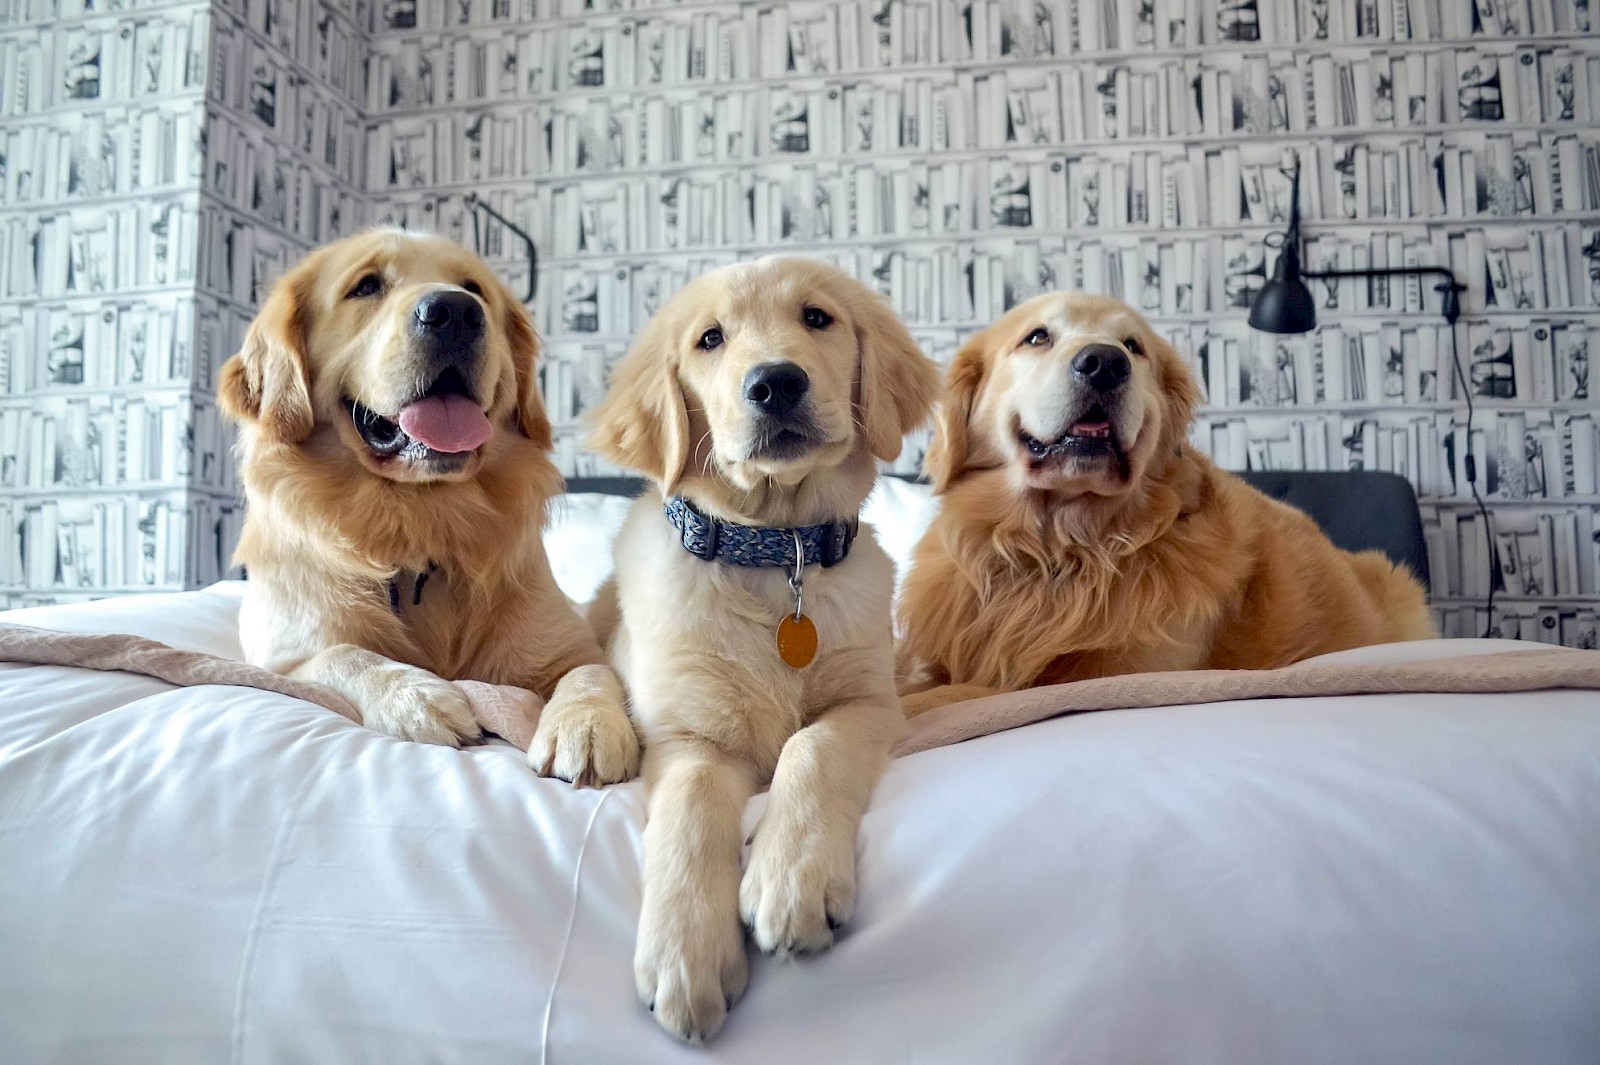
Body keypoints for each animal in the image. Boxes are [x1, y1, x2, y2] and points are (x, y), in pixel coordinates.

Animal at [217, 228, 636, 783]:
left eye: (475, 289)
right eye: (366, 286)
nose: (455, 312)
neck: (422, 520)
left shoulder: (570, 645)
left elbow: (590, 672)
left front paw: (587, 725)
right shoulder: (281, 657)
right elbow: (342, 655)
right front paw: (414, 697)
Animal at [585, 257, 934, 1036]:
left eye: (817, 318)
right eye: (710, 338)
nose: (775, 382)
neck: (778, 553)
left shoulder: (871, 701)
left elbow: (812, 745)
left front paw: (791, 877)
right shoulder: (689, 736)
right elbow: (689, 808)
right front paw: (685, 953)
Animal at [902, 291, 1440, 713]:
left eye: (1133, 347)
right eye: (1037, 338)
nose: (1104, 362)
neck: (1061, 547)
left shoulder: (1114, 672)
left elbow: (951, 698)